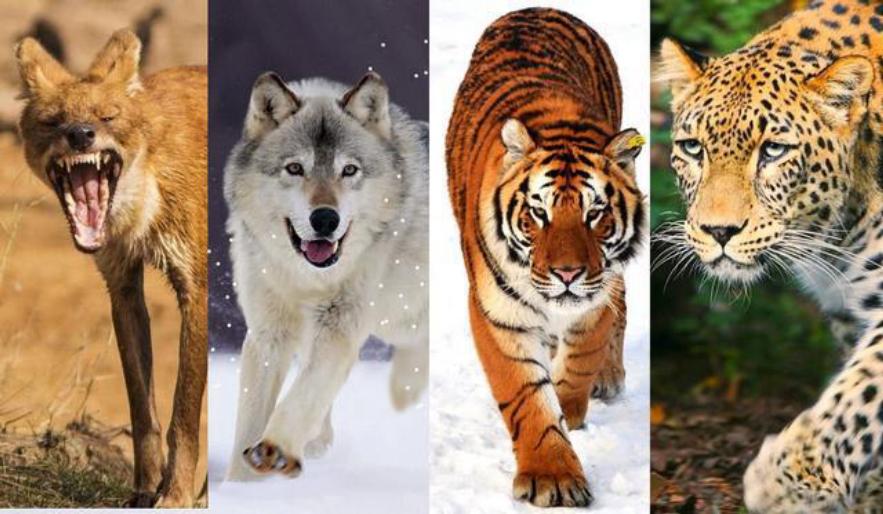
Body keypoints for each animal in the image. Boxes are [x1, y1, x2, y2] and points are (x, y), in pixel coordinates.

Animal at [445, 7, 647, 508]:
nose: (568, 273)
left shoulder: (597, 296)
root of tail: (537, 9)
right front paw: (552, 475)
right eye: (539, 213)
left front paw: (570, 407)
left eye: (596, 213)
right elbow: (526, 397)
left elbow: (577, 366)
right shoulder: (498, 315)